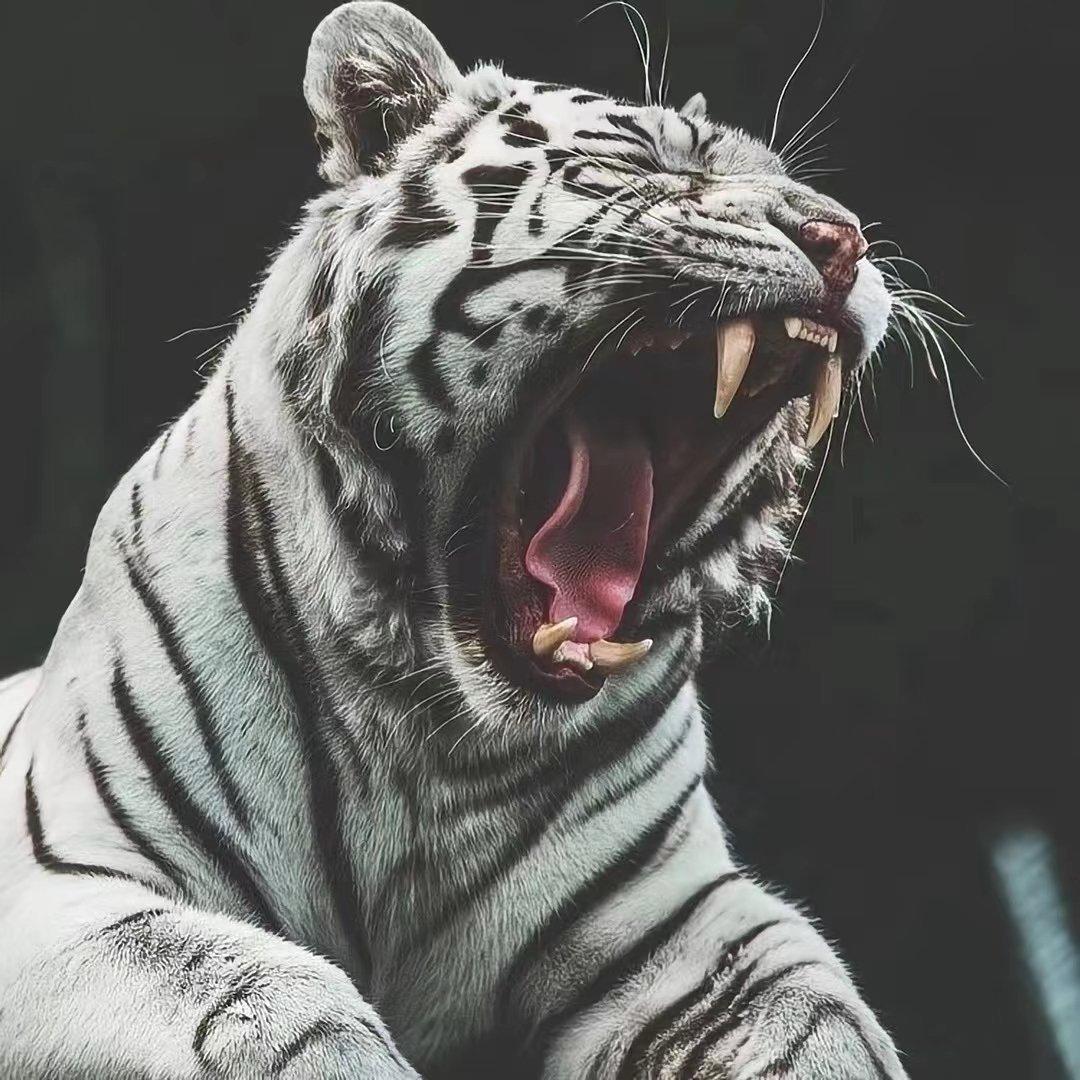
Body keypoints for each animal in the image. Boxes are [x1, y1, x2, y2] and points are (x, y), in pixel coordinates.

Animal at [0, 2, 909, 1077]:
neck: (428, 730)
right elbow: (264, 992)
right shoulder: (64, 885)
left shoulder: (677, 922)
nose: (842, 240)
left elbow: (817, 1020)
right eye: (643, 159)